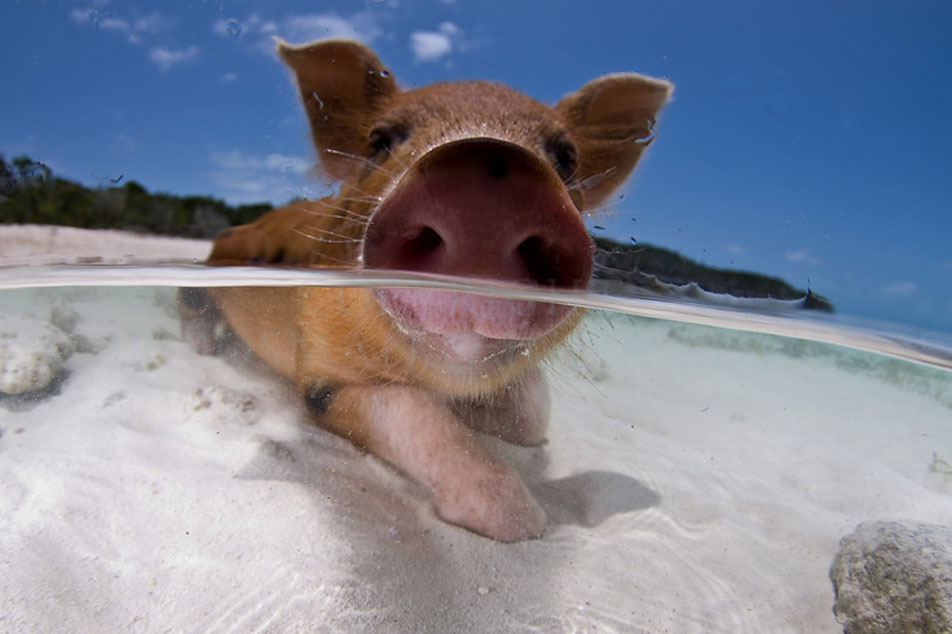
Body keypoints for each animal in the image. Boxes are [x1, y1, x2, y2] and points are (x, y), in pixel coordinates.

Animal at [178, 37, 668, 540]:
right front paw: (530, 524)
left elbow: (532, 415)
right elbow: (413, 413)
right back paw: (204, 350)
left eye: (566, 157)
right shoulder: (319, 372)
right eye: (380, 141)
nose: (489, 165)